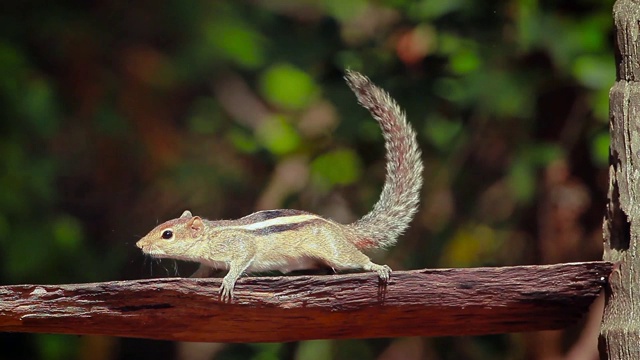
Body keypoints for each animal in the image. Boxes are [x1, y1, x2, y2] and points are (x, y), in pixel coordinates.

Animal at [136, 70, 424, 300]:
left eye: (167, 234)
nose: (139, 245)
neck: (211, 234)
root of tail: (339, 228)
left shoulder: (239, 247)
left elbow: (240, 261)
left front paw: (228, 281)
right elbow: (206, 269)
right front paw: (194, 278)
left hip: (335, 250)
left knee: (355, 259)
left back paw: (377, 267)